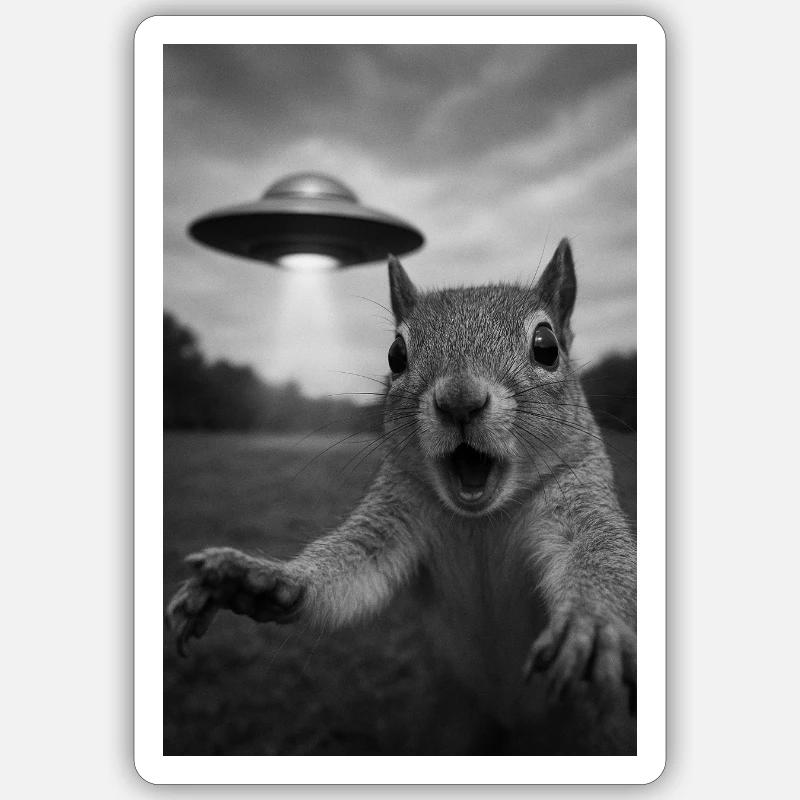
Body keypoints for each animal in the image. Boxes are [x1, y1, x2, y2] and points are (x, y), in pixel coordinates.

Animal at [166, 238, 637, 754]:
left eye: (547, 347)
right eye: (395, 354)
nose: (459, 401)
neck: (482, 520)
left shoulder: (581, 495)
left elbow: (600, 555)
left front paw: (593, 622)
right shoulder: (393, 511)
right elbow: (352, 569)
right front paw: (259, 579)